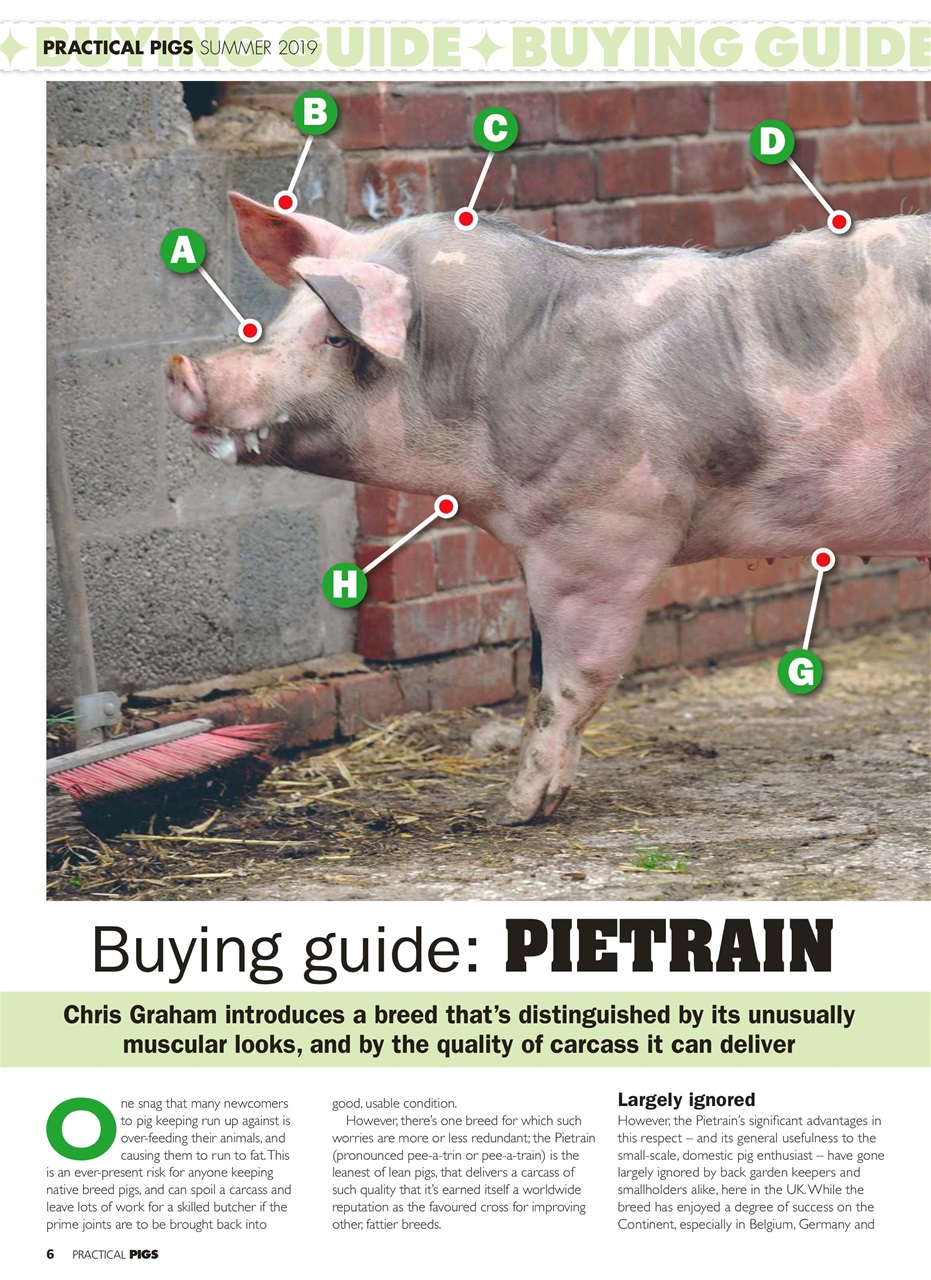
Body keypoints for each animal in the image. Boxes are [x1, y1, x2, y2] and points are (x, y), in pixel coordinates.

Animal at [166, 195, 931, 824]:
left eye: (334, 337)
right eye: (280, 322)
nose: (181, 368)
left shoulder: (603, 534)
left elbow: (570, 682)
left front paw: (515, 812)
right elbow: (539, 669)